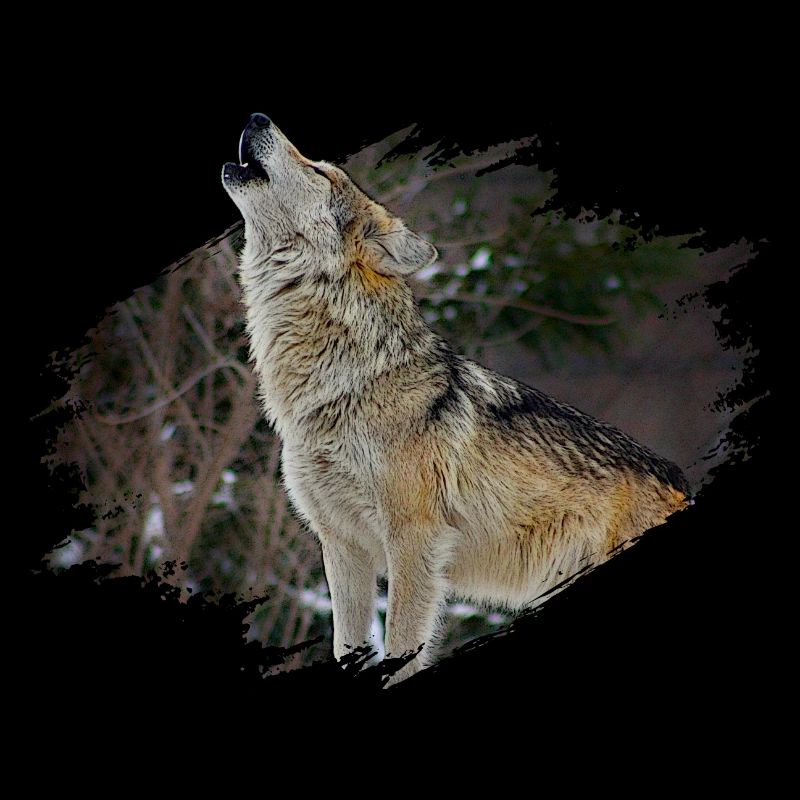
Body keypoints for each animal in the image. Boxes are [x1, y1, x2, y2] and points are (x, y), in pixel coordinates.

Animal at [222, 113, 691, 684]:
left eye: (320, 171)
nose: (257, 117)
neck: (341, 384)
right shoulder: (342, 547)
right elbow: (346, 647)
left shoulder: (414, 541)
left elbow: (400, 652)